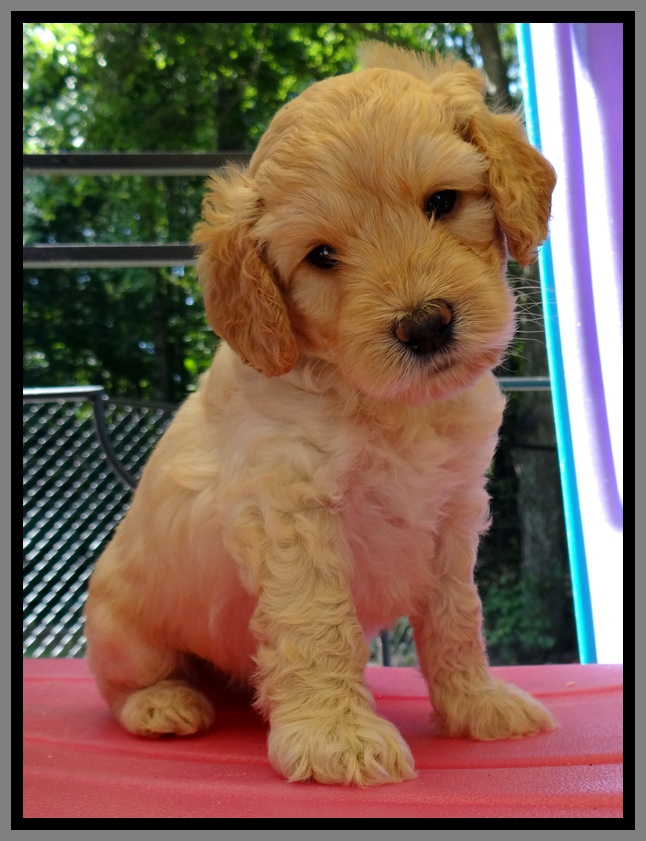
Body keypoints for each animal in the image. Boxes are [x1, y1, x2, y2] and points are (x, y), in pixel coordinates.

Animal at [84, 42, 557, 786]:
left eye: (443, 202)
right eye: (322, 256)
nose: (425, 325)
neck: (386, 405)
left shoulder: (453, 509)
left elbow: (458, 614)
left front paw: (476, 705)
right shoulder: (292, 510)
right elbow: (320, 623)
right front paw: (337, 736)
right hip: (123, 628)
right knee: (122, 684)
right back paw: (164, 703)